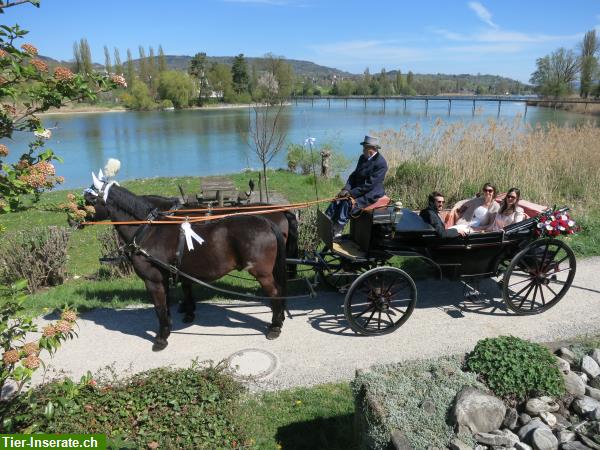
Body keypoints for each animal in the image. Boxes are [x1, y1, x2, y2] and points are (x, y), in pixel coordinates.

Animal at [83, 181, 288, 350]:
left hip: (262, 273)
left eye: (89, 199)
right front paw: (174, 323)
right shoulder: (166, 277)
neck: (149, 230)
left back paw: (275, 326)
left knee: (275, 294)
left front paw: (161, 339)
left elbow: (160, 307)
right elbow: (167, 304)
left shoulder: (153, 280)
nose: (75, 220)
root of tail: (267, 222)